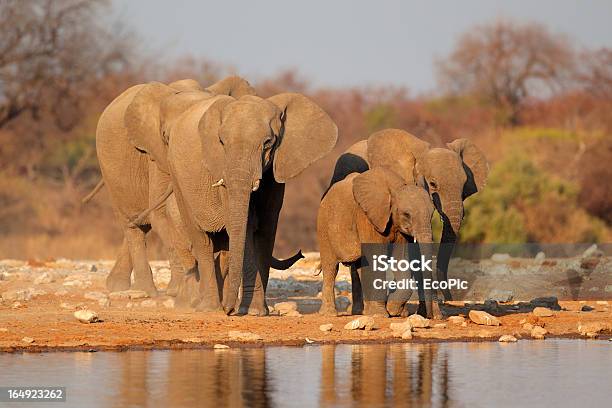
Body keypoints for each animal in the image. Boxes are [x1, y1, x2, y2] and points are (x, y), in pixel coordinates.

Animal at [316, 165, 436, 316]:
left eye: (432, 214)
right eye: (407, 214)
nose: (429, 316)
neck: (396, 188)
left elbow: (400, 259)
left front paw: (393, 310)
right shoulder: (367, 218)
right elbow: (376, 257)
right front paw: (381, 314)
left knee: (360, 266)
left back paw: (366, 312)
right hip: (324, 227)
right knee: (331, 267)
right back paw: (329, 314)